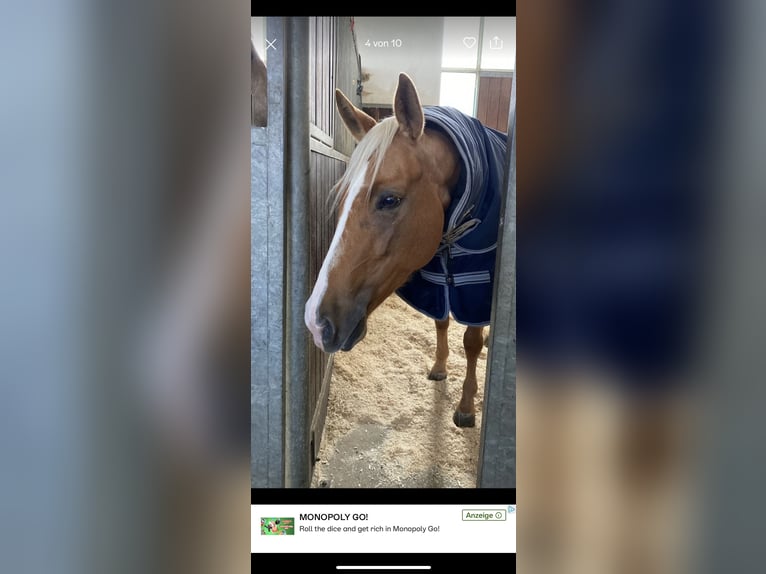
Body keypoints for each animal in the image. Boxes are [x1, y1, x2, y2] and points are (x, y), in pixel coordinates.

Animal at [305, 73, 507, 428]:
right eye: (341, 197)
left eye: (389, 199)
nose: (316, 324)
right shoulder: (438, 279)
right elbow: (440, 322)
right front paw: (439, 367)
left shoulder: (478, 286)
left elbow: (471, 342)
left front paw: (467, 406)